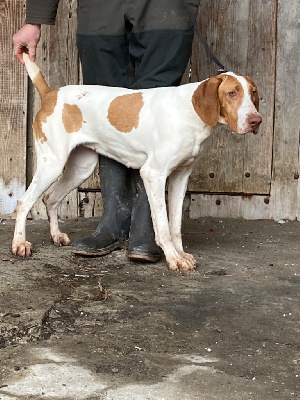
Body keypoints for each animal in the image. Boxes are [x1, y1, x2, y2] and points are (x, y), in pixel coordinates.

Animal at [11, 53, 260, 270]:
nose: (256, 121)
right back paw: (19, 244)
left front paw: (180, 254)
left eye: (253, 93)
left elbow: (175, 225)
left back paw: (56, 235)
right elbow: (163, 225)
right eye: (232, 93)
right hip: (52, 164)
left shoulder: (180, 177)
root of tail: (50, 94)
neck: (190, 112)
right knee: (24, 201)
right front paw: (173, 258)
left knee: (50, 198)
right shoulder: (154, 174)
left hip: (80, 168)